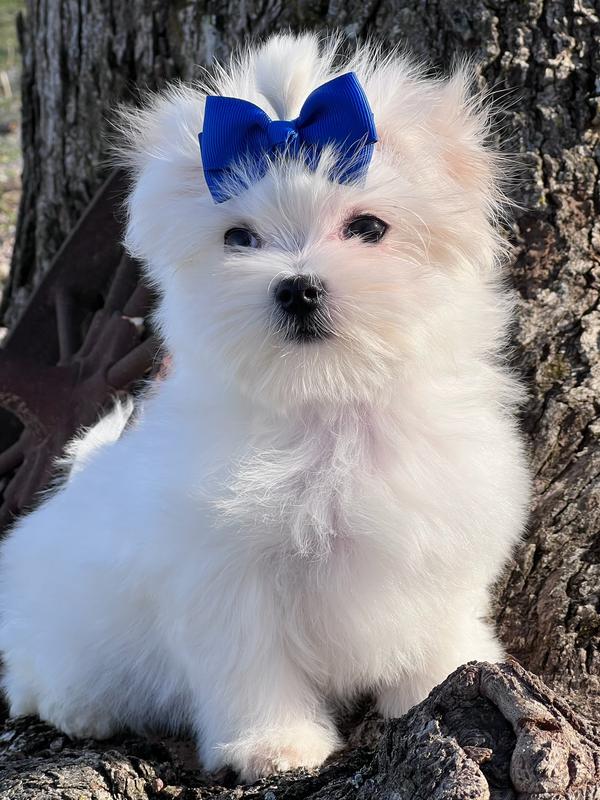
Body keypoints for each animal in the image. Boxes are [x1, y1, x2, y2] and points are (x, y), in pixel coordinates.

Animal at [2, 34, 532, 780]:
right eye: (239, 238)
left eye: (368, 227)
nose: (298, 288)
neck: (327, 405)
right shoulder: (225, 576)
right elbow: (252, 665)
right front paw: (275, 746)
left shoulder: (445, 526)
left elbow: (442, 618)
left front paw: (447, 676)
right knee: (35, 675)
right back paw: (78, 707)